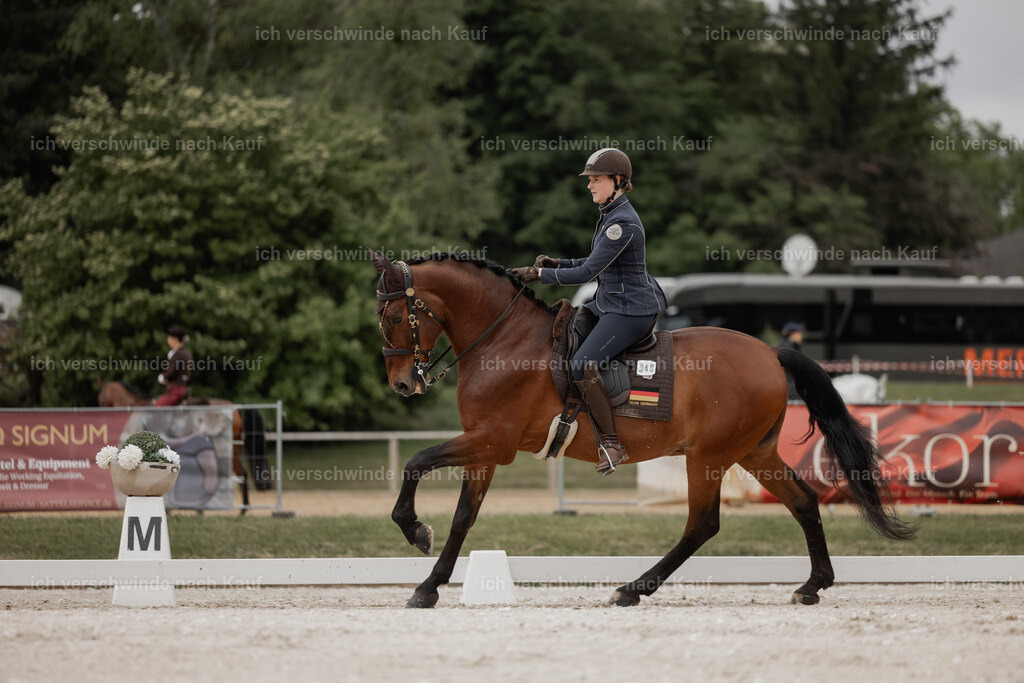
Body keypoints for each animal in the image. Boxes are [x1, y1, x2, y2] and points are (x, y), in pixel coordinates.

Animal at [370, 250, 914, 609]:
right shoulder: (483, 448)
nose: (401, 384)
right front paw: (429, 585)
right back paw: (813, 585)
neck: (503, 338)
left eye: (394, 316)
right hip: (754, 453)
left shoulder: (493, 442)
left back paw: (632, 589)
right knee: (803, 501)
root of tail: (769, 352)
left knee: (702, 524)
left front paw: (414, 530)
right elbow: (464, 518)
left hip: (708, 456)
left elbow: (416, 462)